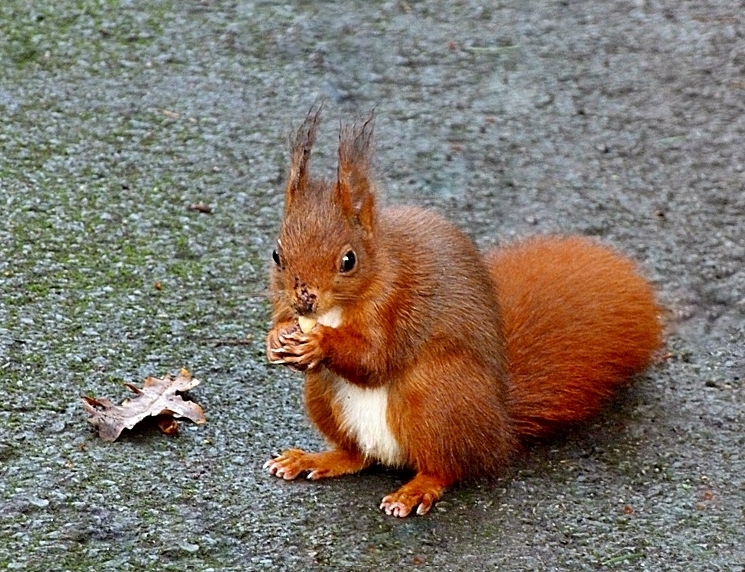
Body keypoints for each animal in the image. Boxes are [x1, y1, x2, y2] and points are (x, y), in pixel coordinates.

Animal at [264, 105, 664, 516]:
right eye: (277, 255)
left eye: (349, 260)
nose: (305, 298)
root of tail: (501, 431)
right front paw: (276, 336)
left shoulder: (398, 306)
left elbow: (375, 358)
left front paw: (320, 343)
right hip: (323, 396)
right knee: (359, 456)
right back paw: (313, 459)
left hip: (438, 397)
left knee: (447, 468)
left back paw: (415, 490)